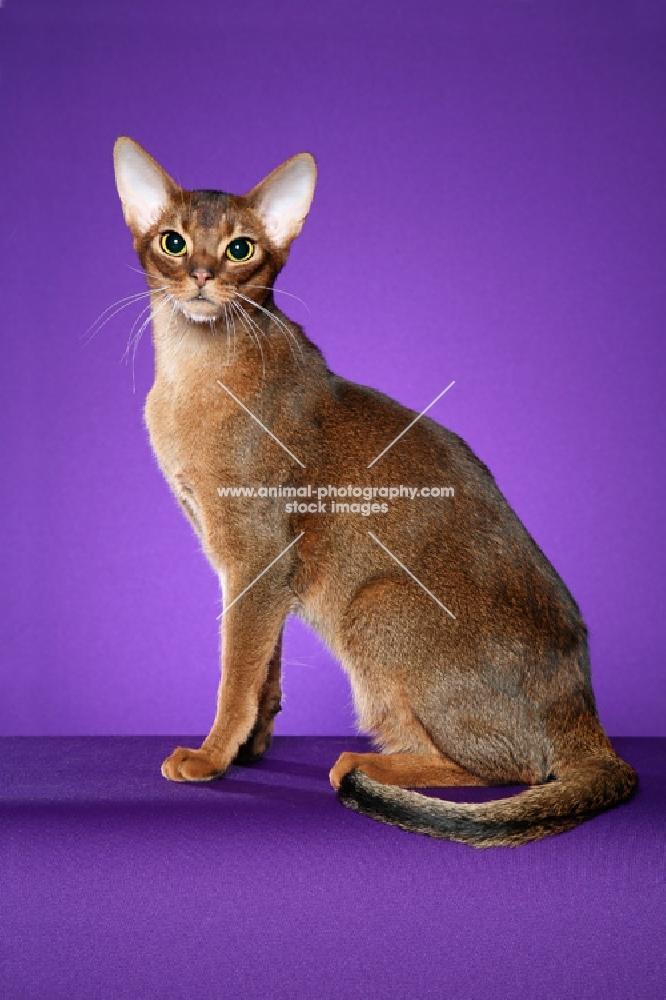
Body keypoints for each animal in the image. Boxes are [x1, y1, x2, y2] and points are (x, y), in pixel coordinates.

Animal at [113, 137, 632, 848]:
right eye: (172, 241)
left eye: (240, 249)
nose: (199, 274)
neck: (194, 373)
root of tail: (582, 708)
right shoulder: (263, 574)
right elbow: (266, 668)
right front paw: (249, 750)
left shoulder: (255, 556)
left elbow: (235, 671)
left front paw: (211, 756)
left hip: (374, 603)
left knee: (512, 767)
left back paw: (365, 764)